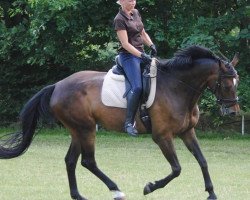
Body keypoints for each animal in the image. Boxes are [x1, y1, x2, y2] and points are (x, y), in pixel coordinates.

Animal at [0, 45, 240, 200]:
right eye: (228, 85)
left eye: (236, 83)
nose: (233, 112)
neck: (177, 87)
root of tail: (57, 85)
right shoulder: (162, 137)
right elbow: (177, 168)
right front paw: (150, 187)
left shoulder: (187, 132)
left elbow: (202, 160)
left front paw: (211, 193)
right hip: (86, 129)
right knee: (88, 161)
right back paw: (116, 190)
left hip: (78, 131)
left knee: (70, 161)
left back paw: (78, 195)